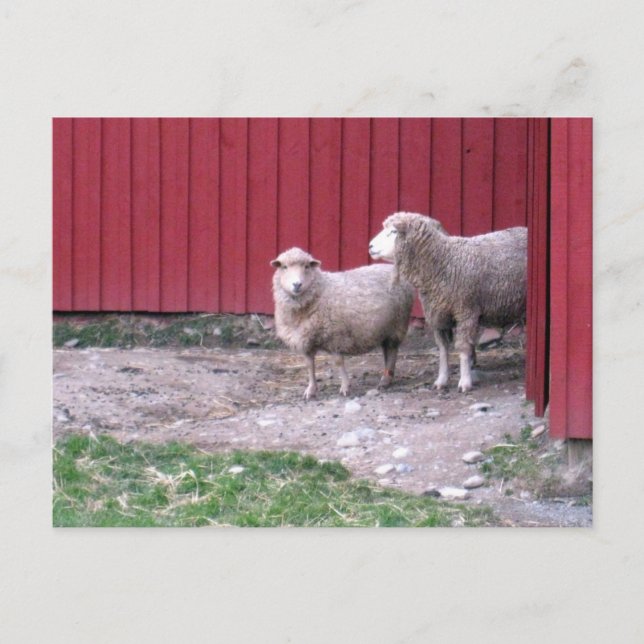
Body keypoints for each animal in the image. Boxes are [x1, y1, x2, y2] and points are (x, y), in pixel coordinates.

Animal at [270, 247, 414, 399]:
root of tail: (391, 267)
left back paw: (385, 380)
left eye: (307, 267)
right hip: (385, 328)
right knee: (387, 351)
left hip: (397, 324)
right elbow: (309, 365)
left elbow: (338, 362)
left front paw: (345, 387)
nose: (297, 284)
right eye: (284, 267)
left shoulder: (335, 335)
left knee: (392, 351)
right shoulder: (305, 340)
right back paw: (387, 376)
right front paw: (311, 389)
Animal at [368, 212, 527, 393]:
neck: (444, 261)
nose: (370, 246)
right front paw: (441, 380)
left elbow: (463, 348)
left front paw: (464, 382)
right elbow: (443, 349)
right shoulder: (438, 315)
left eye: (394, 232)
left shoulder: (466, 311)